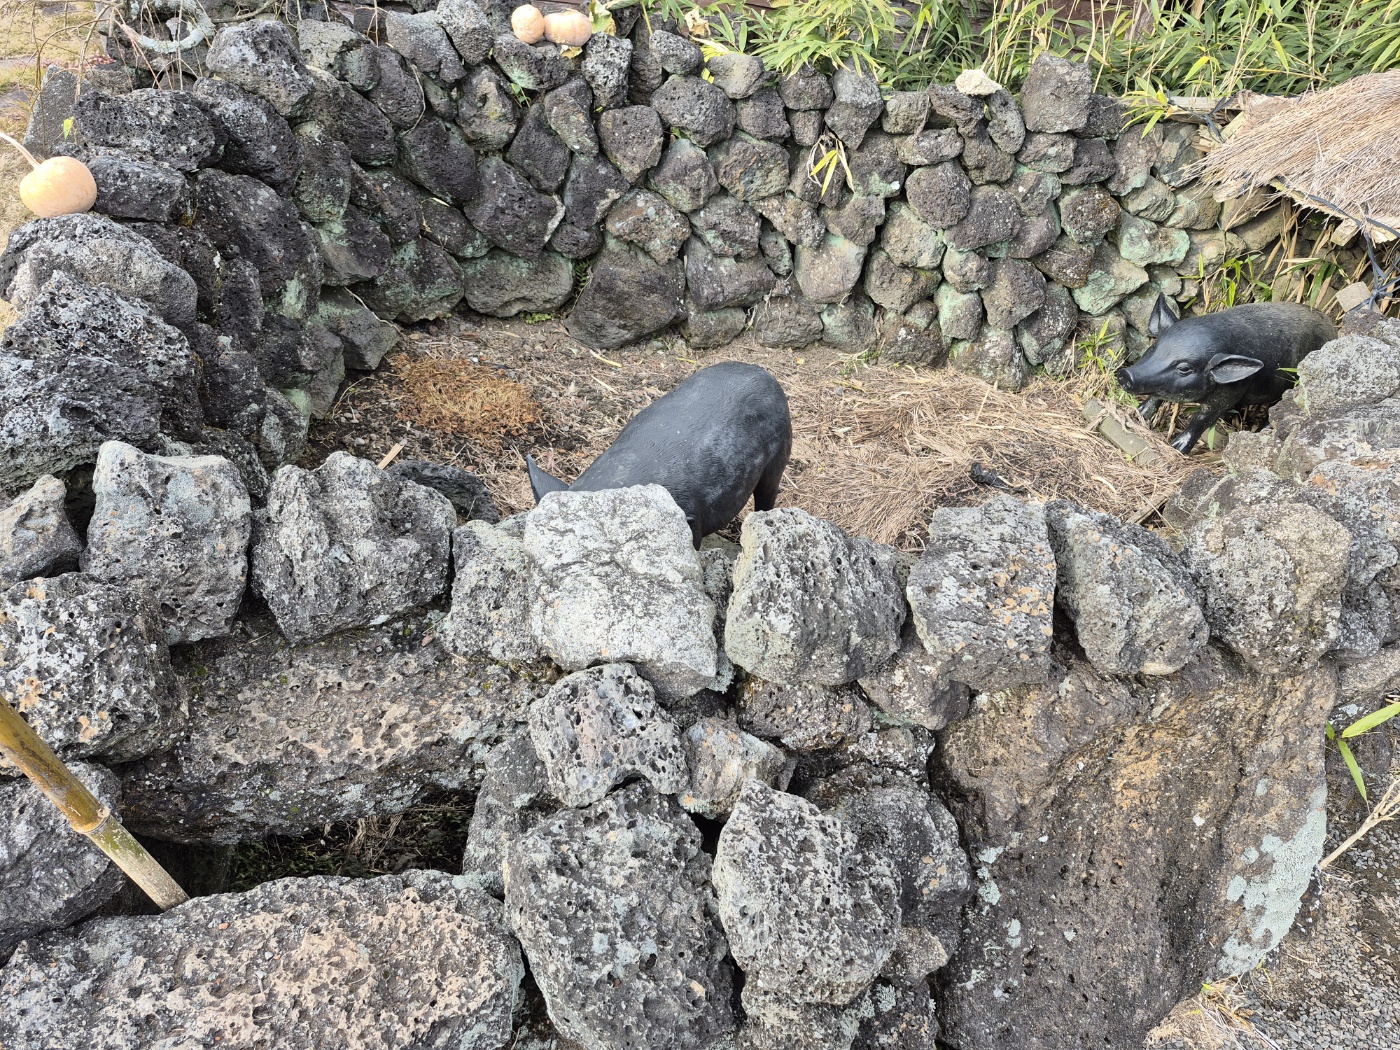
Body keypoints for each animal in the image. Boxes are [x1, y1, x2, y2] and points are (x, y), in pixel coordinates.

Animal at [1116, 294, 1336, 453]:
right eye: (1154, 347)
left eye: (1184, 368)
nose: (1125, 374)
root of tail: (1333, 327)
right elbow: (1156, 396)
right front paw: (1139, 413)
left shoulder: (1231, 391)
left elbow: (1203, 417)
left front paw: (1176, 447)